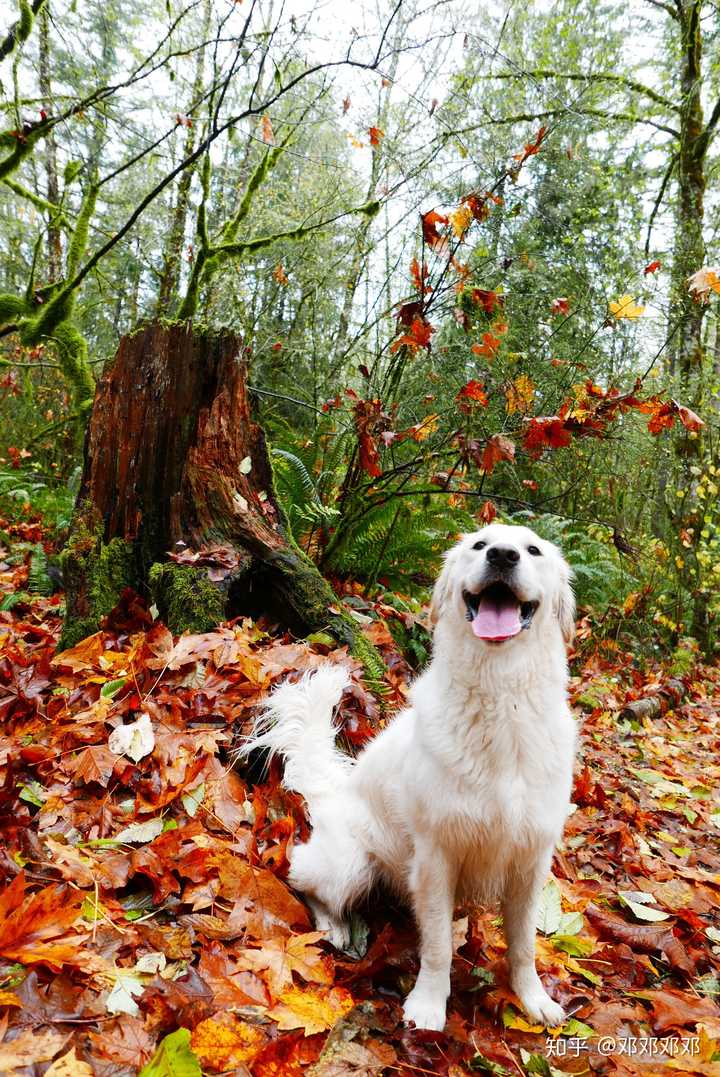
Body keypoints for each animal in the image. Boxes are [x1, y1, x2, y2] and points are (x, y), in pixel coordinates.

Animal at [241, 525, 576, 1029]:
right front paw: (428, 1005)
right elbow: (437, 944)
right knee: (300, 875)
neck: (501, 697)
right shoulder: (437, 856)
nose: (502, 556)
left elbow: (523, 944)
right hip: (351, 865)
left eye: (532, 550)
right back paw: (334, 926)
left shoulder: (529, 860)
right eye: (480, 545)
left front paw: (533, 997)